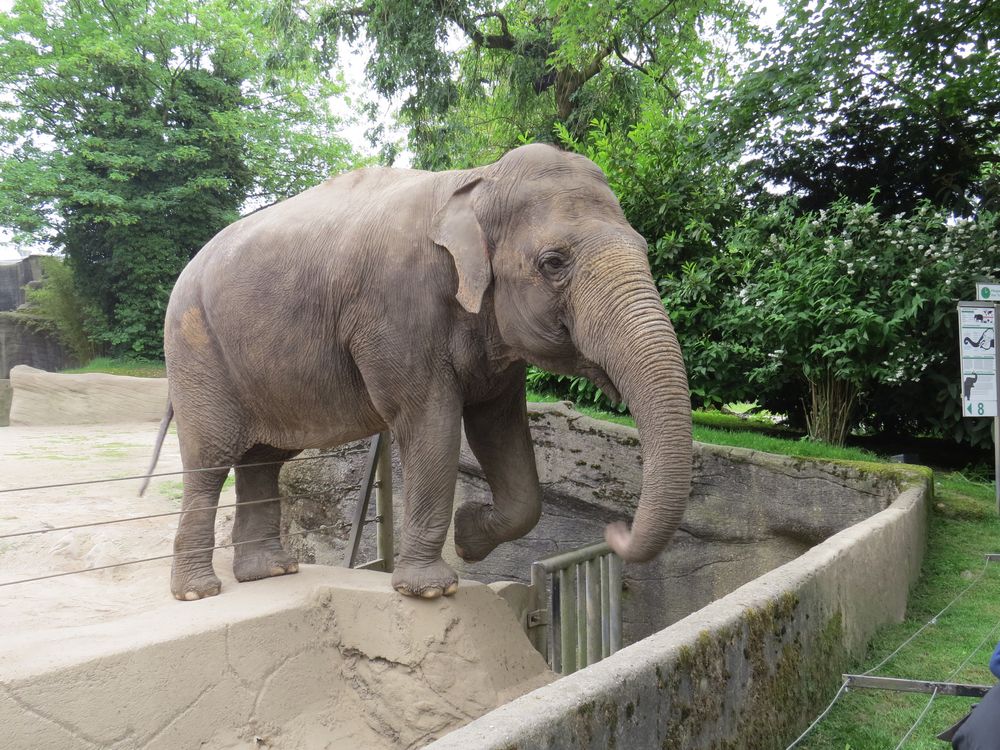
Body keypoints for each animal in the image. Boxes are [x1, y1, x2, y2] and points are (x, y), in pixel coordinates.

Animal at [145, 144, 692, 604]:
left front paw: (469, 537)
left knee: (262, 461)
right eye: (553, 262)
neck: (478, 180)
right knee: (211, 458)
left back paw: (271, 573)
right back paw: (198, 593)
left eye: (643, 247)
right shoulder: (395, 312)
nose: (616, 531)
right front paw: (430, 590)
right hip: (196, 349)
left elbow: (500, 429)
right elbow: (431, 423)